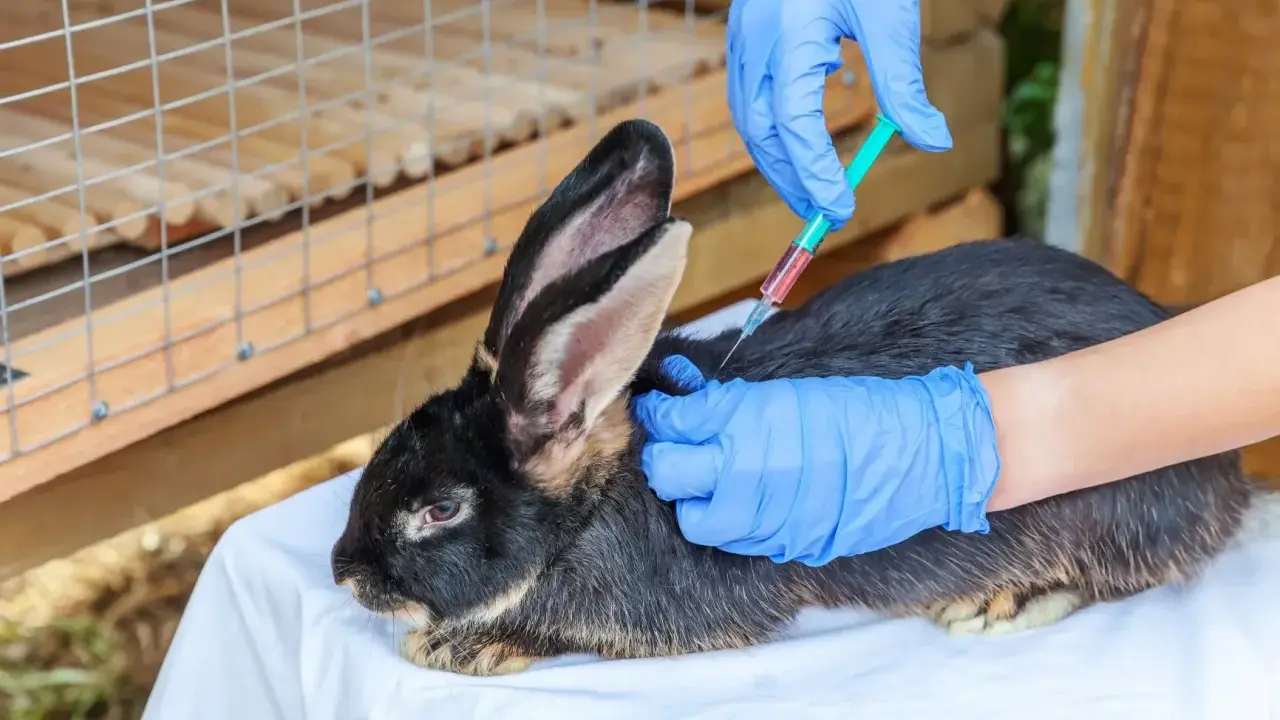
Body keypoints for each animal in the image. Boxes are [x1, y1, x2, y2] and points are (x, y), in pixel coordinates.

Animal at [330, 118, 1260, 677]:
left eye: (441, 511)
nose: (343, 573)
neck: (595, 499)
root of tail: (1229, 479)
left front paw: (455, 646)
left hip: (1108, 505)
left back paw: (1000, 604)